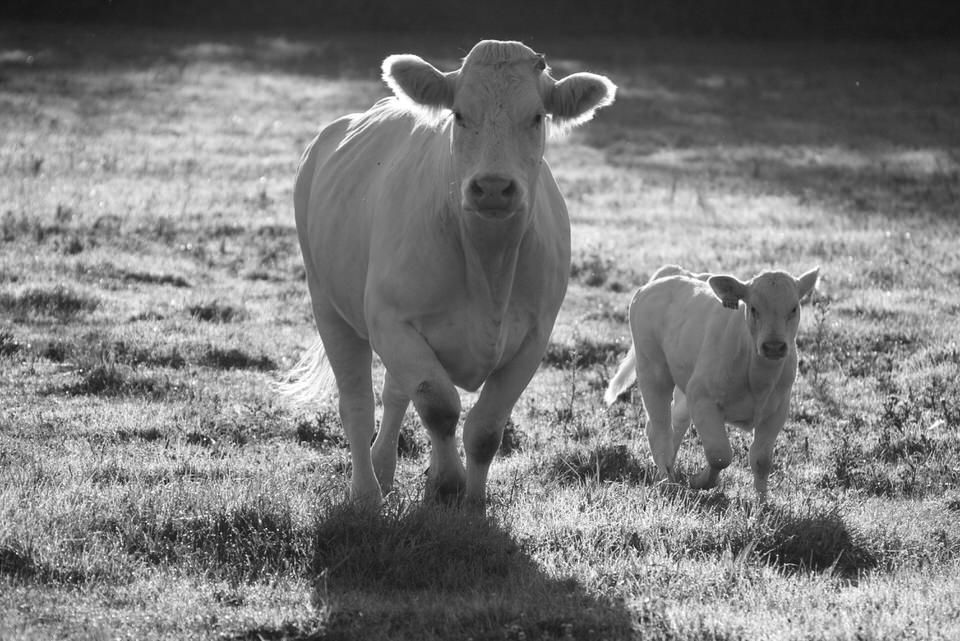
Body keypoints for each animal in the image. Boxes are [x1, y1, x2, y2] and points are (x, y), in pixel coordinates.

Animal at [284, 40, 616, 510]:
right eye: (459, 115)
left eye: (537, 116)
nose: (493, 187)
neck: (489, 263)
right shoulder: (390, 320)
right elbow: (439, 406)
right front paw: (446, 482)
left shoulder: (534, 338)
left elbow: (485, 429)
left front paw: (473, 501)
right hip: (326, 302)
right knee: (358, 404)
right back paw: (366, 493)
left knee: (396, 395)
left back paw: (384, 470)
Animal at [608, 264, 816, 500]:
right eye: (754, 308)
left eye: (794, 308)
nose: (773, 346)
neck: (757, 378)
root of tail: (669, 274)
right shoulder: (702, 399)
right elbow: (720, 454)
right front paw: (699, 481)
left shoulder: (777, 411)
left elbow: (761, 460)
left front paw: (762, 503)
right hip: (652, 369)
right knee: (659, 428)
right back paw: (667, 482)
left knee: (676, 421)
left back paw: (670, 471)